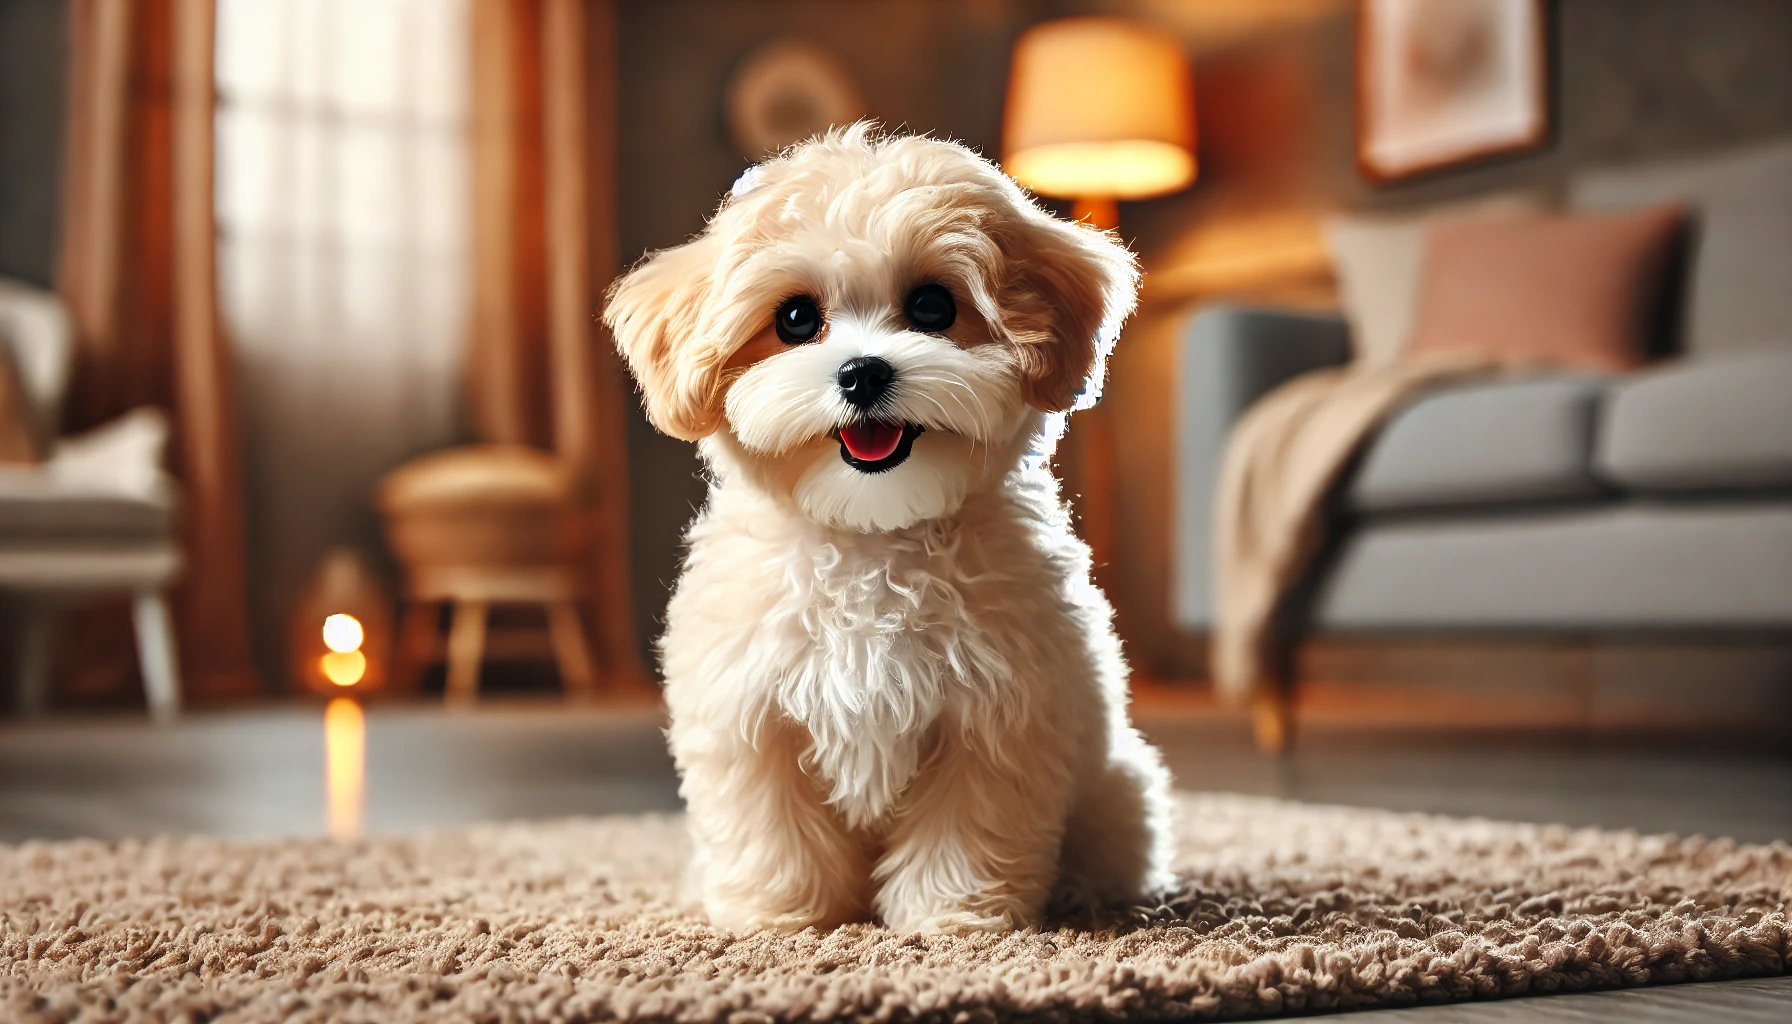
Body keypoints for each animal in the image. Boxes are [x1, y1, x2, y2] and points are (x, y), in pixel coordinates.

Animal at [602, 124, 1175, 932]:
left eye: (933, 306)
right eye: (795, 319)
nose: (863, 372)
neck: (871, 540)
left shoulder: (997, 713)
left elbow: (966, 824)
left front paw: (952, 917)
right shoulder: (750, 712)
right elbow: (771, 825)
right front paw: (782, 916)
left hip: (1118, 790)